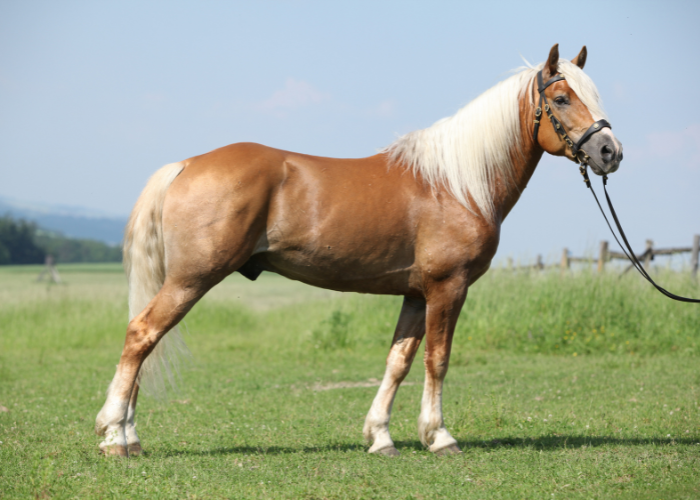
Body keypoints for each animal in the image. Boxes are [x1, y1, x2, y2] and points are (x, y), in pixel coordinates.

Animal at [94, 44, 624, 458]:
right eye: (561, 98)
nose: (610, 153)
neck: (456, 183)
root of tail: (185, 164)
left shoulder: (415, 293)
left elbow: (399, 361)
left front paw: (380, 436)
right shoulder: (447, 288)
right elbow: (438, 359)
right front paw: (439, 436)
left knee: (146, 340)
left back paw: (128, 435)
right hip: (192, 278)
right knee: (142, 334)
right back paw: (114, 435)